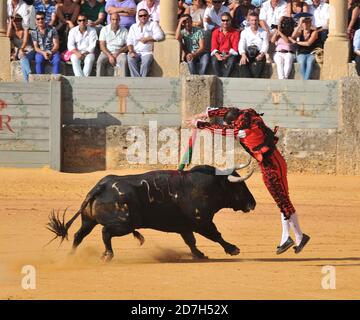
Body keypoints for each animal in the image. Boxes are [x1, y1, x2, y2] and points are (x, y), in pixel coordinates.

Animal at [47, 164, 256, 262]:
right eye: (239, 186)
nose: (252, 203)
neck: (206, 185)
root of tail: (102, 185)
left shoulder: (185, 226)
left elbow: (190, 241)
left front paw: (199, 255)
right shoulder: (202, 221)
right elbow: (215, 235)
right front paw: (233, 249)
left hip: (88, 221)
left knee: (78, 235)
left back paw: (71, 256)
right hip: (124, 224)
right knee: (105, 232)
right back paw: (107, 255)